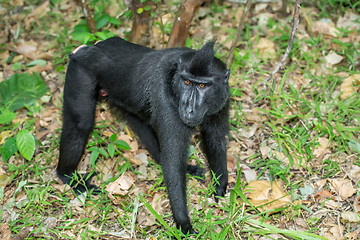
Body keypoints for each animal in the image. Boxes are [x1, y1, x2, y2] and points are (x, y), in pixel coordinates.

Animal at [57, 37, 231, 234]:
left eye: (202, 85)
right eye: (187, 82)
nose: (189, 107)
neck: (174, 76)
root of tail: (87, 49)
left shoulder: (222, 98)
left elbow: (215, 139)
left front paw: (220, 188)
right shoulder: (163, 95)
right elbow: (173, 160)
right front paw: (183, 224)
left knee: (141, 123)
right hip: (79, 72)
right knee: (81, 125)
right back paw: (67, 176)